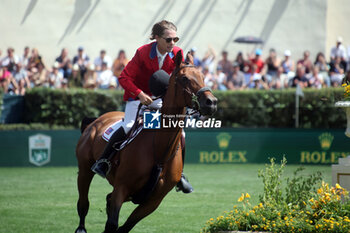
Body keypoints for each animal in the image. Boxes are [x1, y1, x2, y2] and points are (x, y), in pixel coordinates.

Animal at [74, 51, 216, 233]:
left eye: (203, 76)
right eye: (184, 78)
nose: (211, 102)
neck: (159, 150)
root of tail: (95, 121)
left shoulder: (153, 201)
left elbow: (125, 226)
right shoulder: (122, 187)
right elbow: (112, 223)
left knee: (107, 199)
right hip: (85, 169)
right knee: (83, 202)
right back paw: (81, 227)